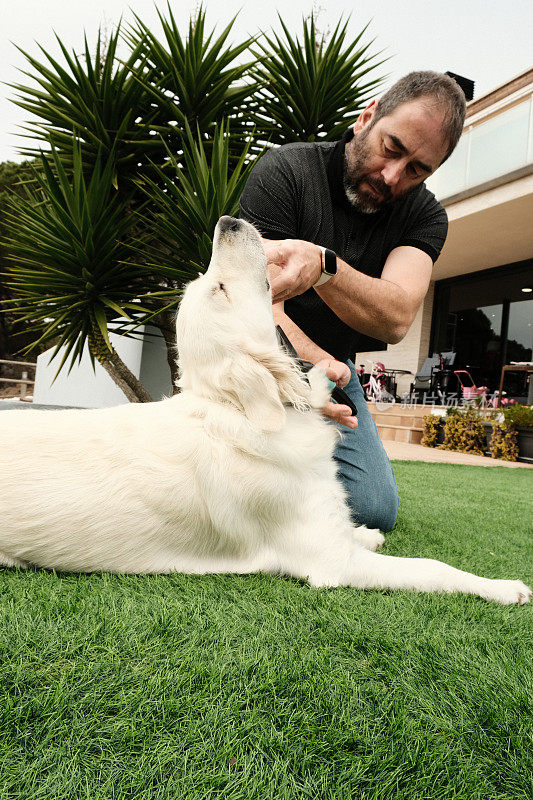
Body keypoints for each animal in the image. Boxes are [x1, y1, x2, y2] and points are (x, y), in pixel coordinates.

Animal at [0, 216, 528, 604]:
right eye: (220, 289)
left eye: (207, 283)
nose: (228, 220)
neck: (247, 413)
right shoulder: (331, 563)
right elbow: (434, 568)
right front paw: (502, 588)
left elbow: (353, 529)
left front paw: (367, 531)